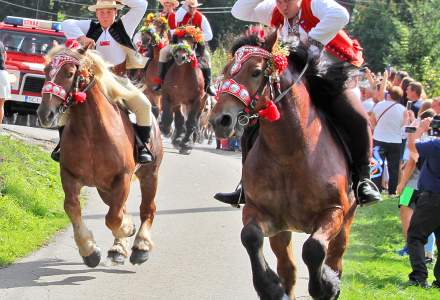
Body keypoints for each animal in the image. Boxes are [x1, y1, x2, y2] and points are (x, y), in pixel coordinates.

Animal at [36, 46, 163, 268]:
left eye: (69, 73)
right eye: (45, 70)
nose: (45, 114)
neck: (92, 131)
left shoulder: (123, 177)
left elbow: (113, 218)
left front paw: (127, 230)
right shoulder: (69, 175)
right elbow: (72, 207)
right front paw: (89, 250)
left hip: (149, 175)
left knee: (147, 208)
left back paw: (141, 246)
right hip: (105, 188)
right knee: (120, 207)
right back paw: (119, 248)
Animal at [160, 25, 206, 155]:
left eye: (192, 41)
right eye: (179, 39)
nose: (181, 56)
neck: (183, 75)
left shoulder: (197, 100)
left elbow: (191, 121)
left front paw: (187, 144)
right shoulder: (168, 95)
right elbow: (168, 116)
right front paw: (166, 129)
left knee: (193, 120)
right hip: (179, 102)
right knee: (179, 118)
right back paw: (177, 138)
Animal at [208, 30, 356, 300]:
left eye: (256, 72)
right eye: (225, 70)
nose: (220, 120)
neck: (290, 152)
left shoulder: (334, 211)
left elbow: (314, 248)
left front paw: (326, 285)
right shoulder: (262, 212)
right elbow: (250, 237)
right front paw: (270, 287)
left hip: (347, 221)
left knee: (335, 257)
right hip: (283, 231)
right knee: (288, 268)